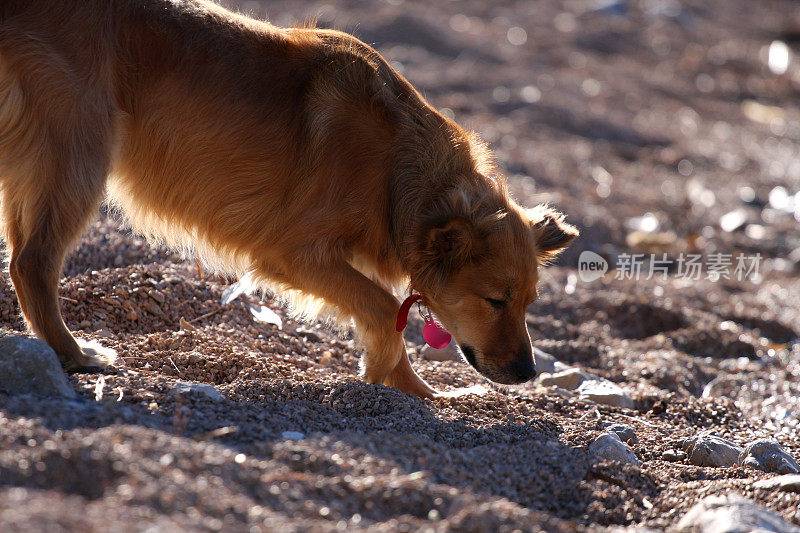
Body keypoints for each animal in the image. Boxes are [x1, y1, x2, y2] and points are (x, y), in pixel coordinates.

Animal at [0, 1, 576, 400]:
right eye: (494, 300)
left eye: (529, 304)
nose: (528, 372)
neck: (399, 172)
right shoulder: (293, 253)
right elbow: (384, 308)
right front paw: (389, 377)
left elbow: (386, 317)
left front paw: (415, 393)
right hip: (79, 155)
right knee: (32, 263)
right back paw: (74, 354)